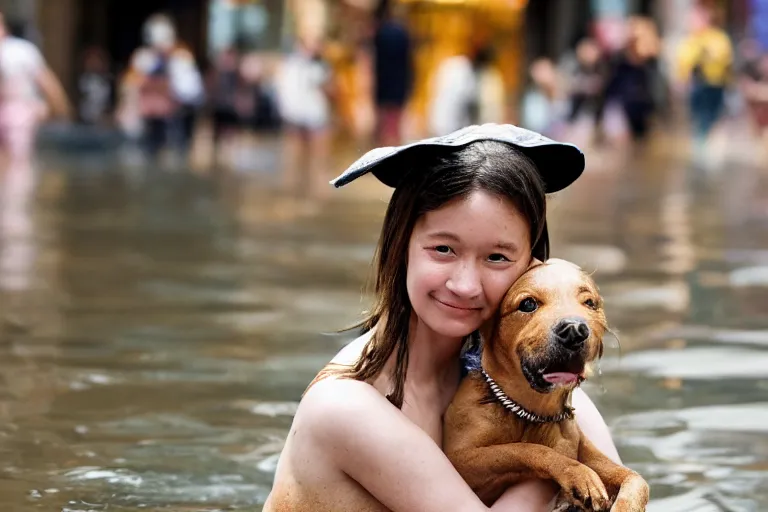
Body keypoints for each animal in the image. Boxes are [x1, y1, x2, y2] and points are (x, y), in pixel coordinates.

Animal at [444, 260, 648, 512]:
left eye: (590, 303)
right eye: (528, 304)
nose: (574, 330)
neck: (528, 414)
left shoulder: (589, 451)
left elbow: (637, 480)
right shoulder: (461, 461)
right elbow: (527, 449)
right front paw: (577, 474)